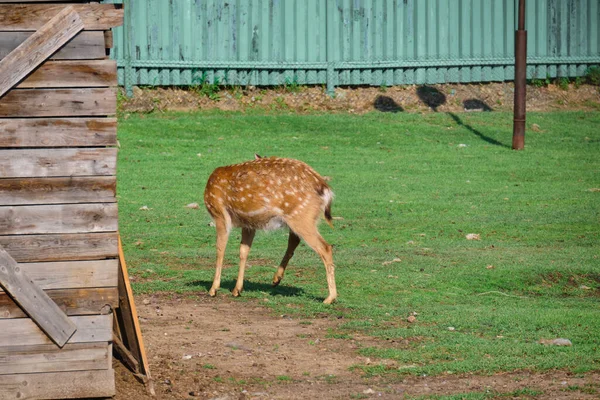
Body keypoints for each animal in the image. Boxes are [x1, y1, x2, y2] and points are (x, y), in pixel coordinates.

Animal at [204, 156, 338, 304]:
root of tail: (326, 189)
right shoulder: (249, 224)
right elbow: (244, 251)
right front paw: (237, 290)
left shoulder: (219, 214)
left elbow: (220, 248)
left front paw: (213, 289)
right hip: (299, 218)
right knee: (295, 240)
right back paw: (276, 279)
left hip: (302, 216)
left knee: (325, 247)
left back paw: (329, 298)